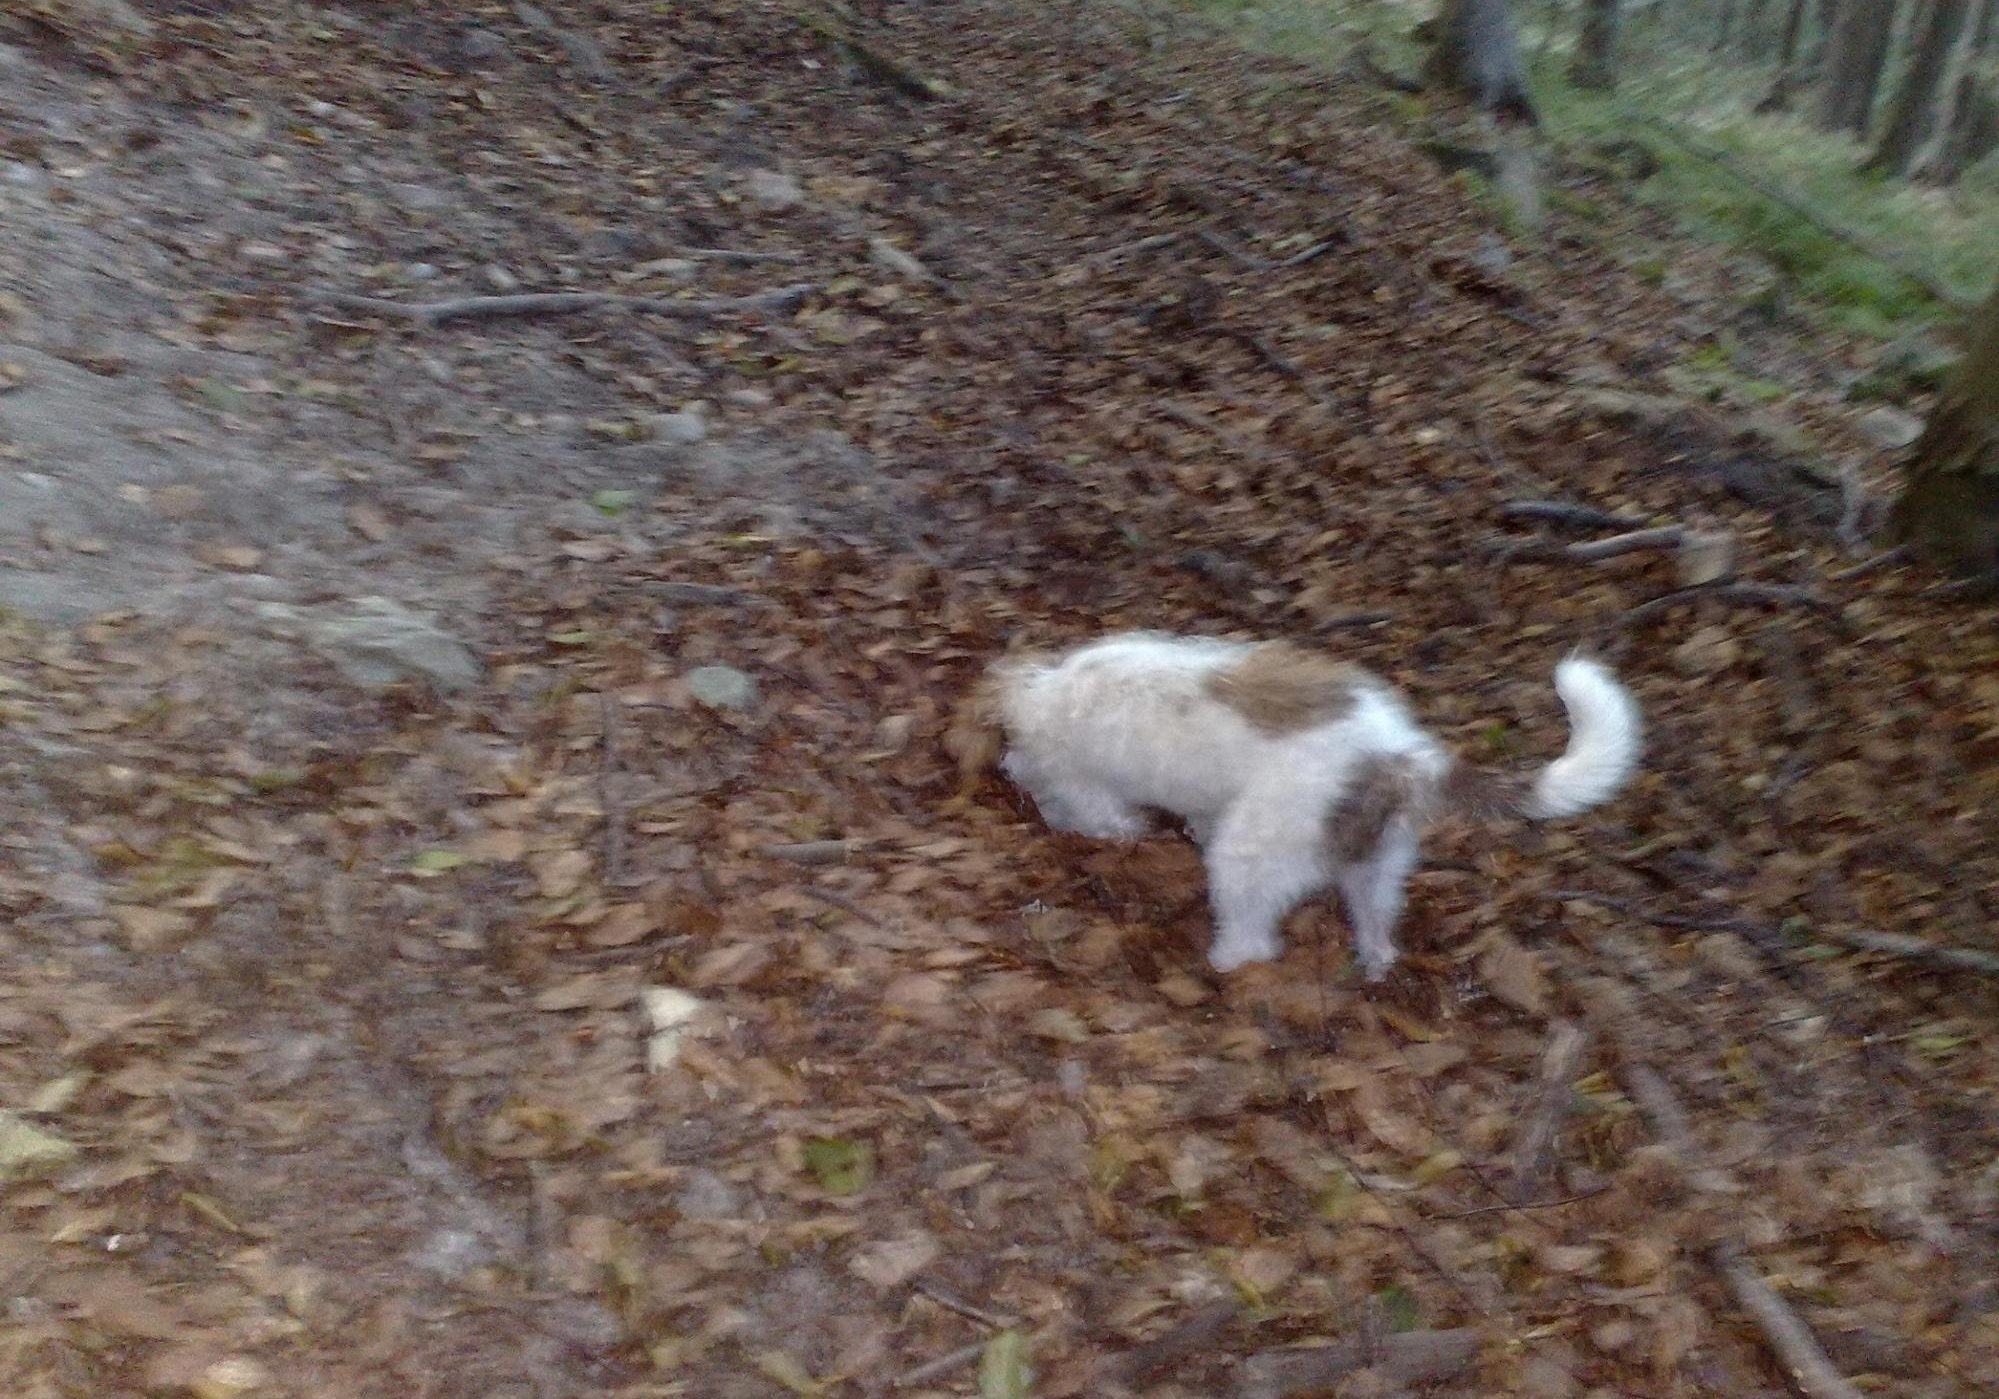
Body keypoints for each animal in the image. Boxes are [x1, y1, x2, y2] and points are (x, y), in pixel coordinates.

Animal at [963, 627, 1639, 979]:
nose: (1012, 772)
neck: (1054, 700)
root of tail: (1398, 758)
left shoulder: (1093, 789)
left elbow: (1105, 815)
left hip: (1249, 857)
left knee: (1253, 938)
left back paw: (1225, 960)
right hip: (1377, 864)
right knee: (1376, 922)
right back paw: (1373, 963)